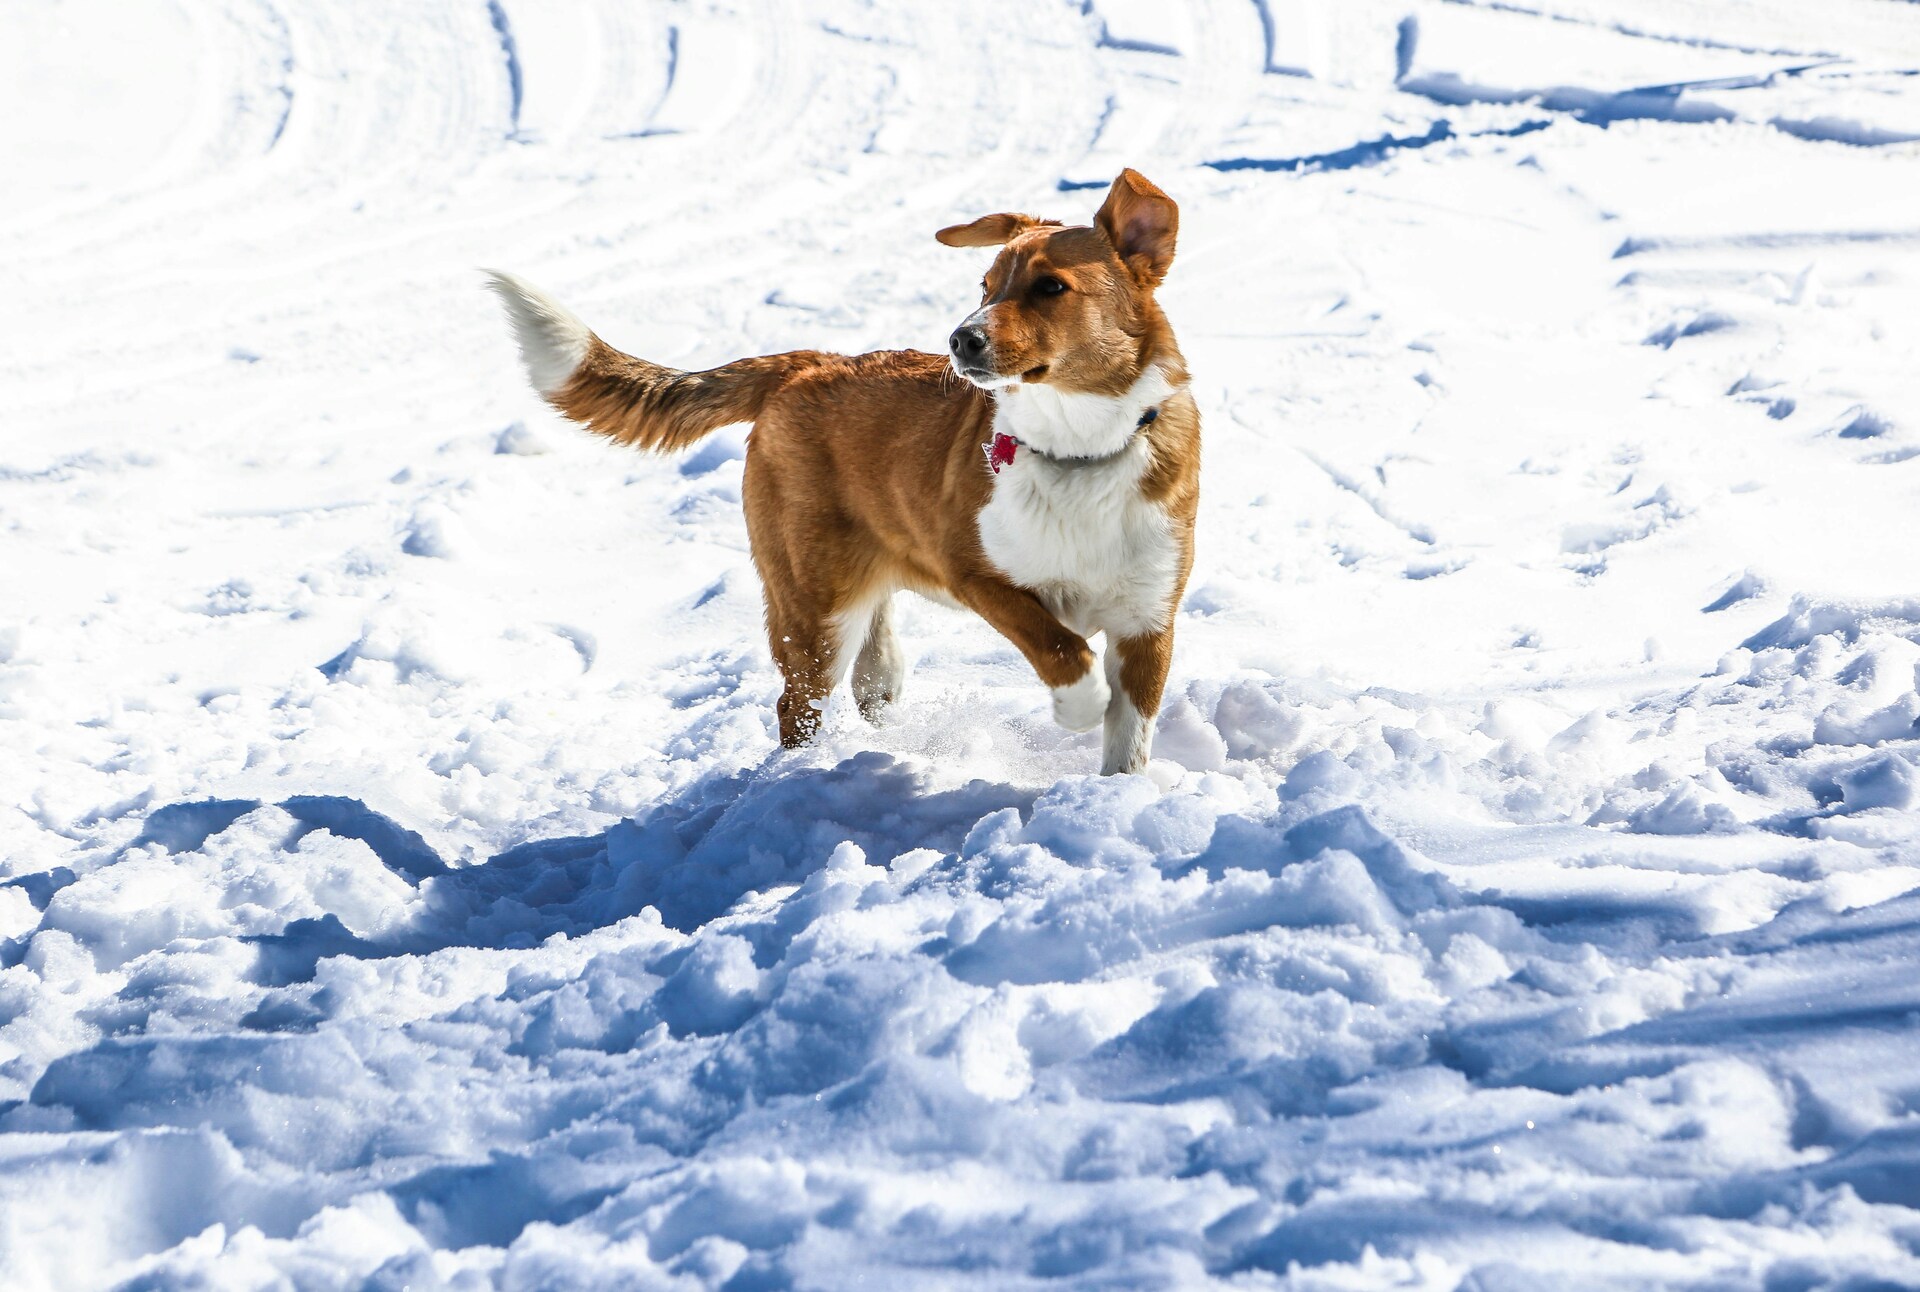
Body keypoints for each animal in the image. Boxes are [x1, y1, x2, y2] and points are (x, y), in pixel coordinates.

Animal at [487, 170, 1190, 775]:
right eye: (985, 286)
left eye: (1051, 288)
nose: (960, 340)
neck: (1077, 450)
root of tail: (806, 363)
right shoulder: (976, 572)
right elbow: (1061, 647)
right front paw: (1080, 707)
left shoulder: (1149, 620)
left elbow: (1130, 734)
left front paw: (1113, 798)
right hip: (814, 606)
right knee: (799, 703)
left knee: (871, 670)